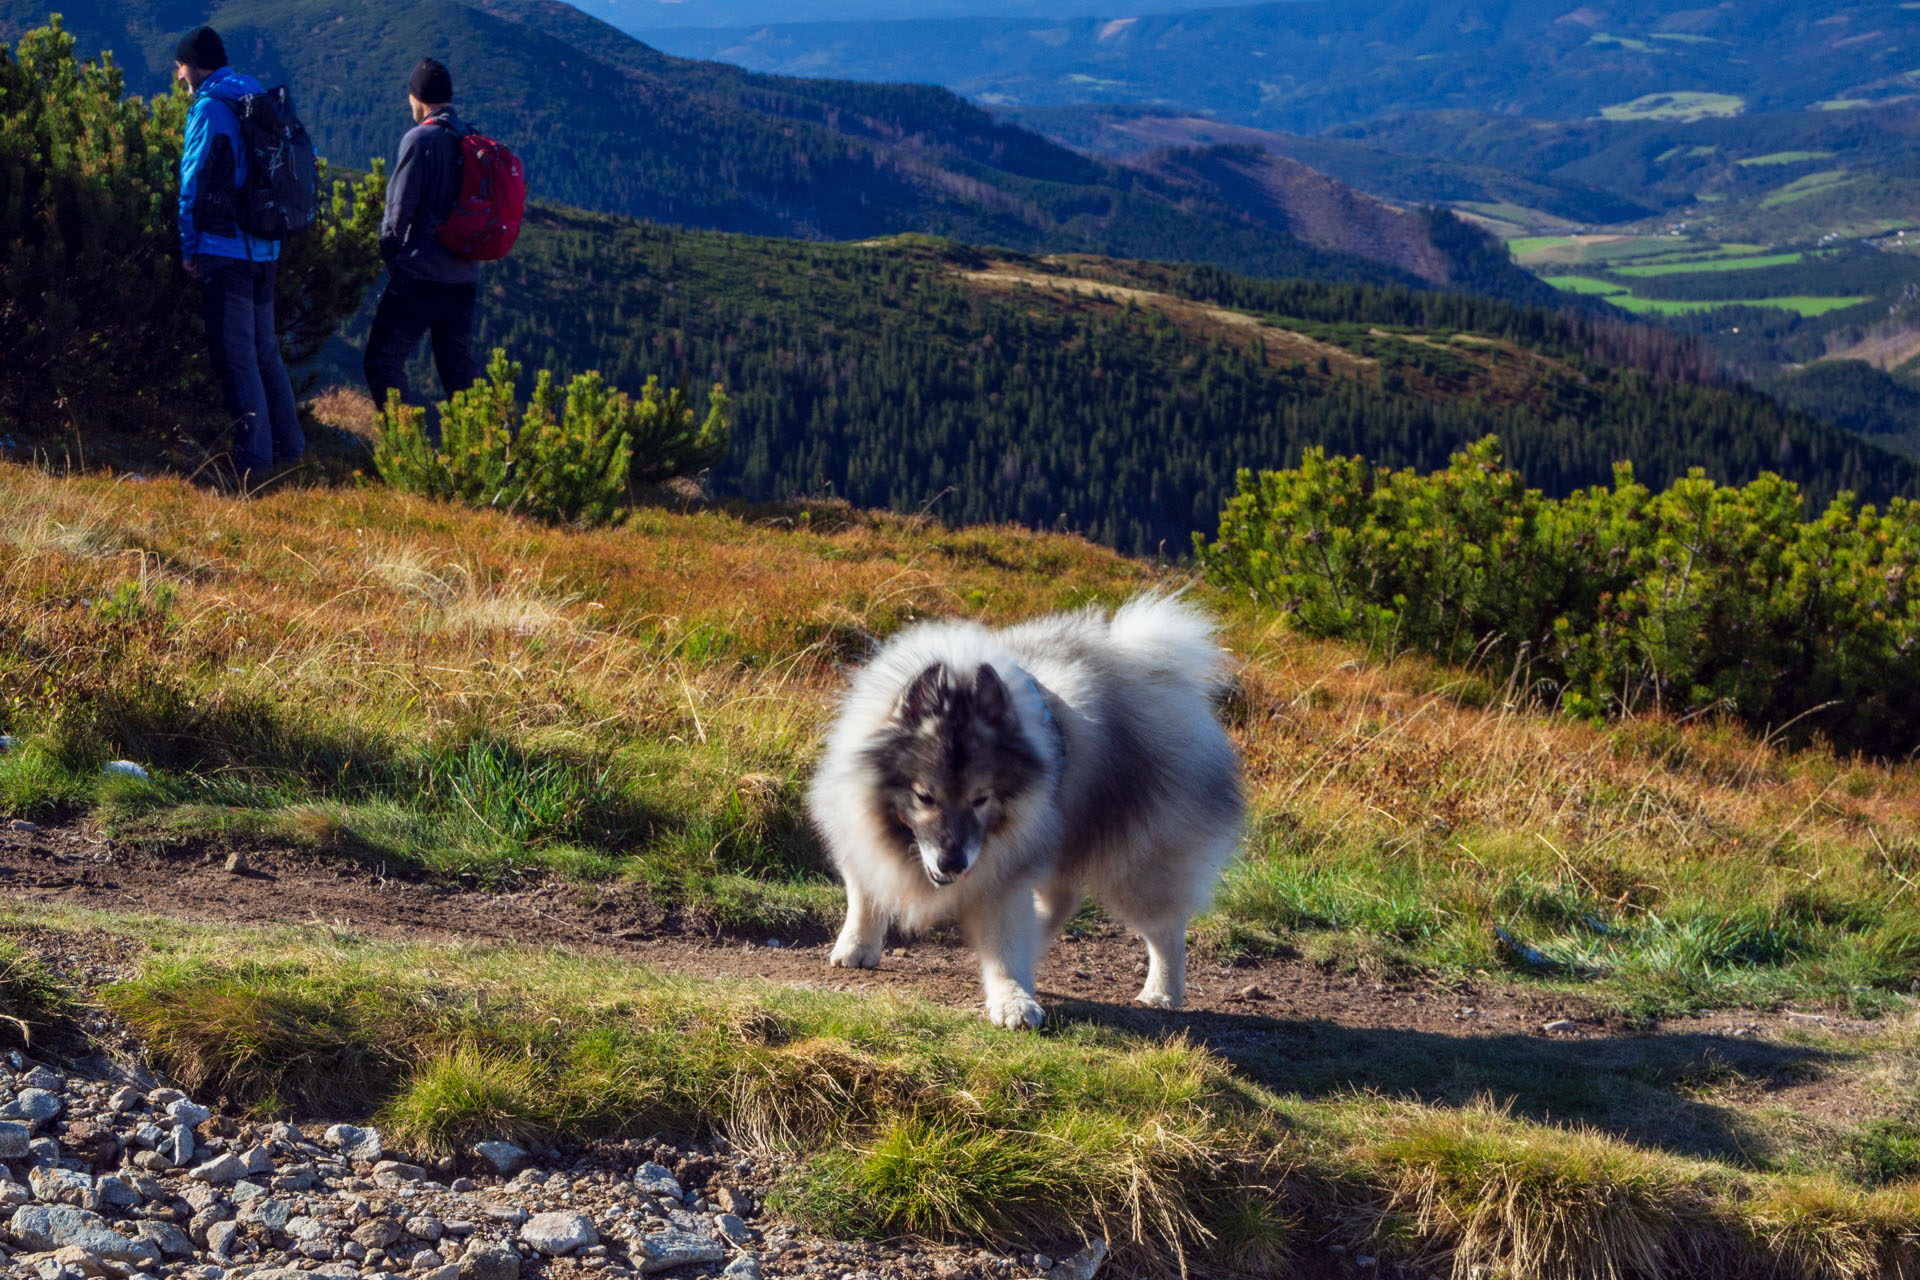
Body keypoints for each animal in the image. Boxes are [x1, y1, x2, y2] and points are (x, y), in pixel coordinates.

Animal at [806, 598, 1244, 1028]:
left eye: (981, 799)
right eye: (925, 797)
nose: (952, 862)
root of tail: (1164, 676)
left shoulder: (1005, 866)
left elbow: (1005, 940)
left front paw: (1013, 1000)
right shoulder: (858, 830)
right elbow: (864, 895)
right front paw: (856, 947)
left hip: (1137, 865)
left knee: (1166, 929)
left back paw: (1162, 992)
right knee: (1062, 900)